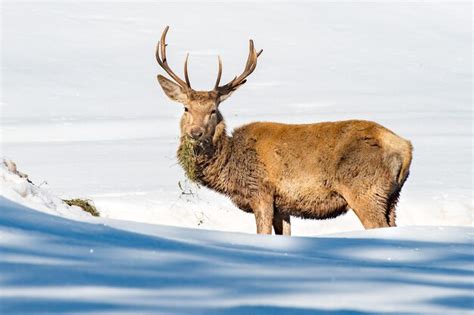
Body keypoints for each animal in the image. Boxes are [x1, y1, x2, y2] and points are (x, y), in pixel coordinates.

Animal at [155, 26, 412, 235]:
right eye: (186, 108)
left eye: (214, 110)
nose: (196, 132)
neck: (230, 165)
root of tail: (405, 148)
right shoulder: (283, 206)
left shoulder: (261, 192)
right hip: (392, 197)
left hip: (365, 189)